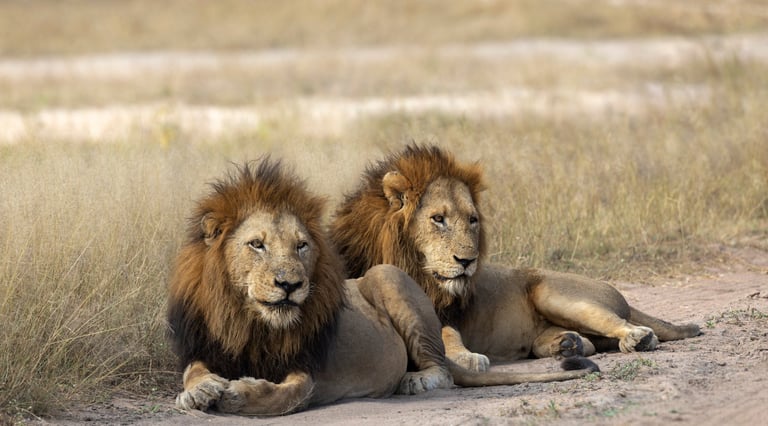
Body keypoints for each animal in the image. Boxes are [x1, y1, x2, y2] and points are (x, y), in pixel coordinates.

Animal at [166, 159, 598, 416]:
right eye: (257, 244)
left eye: (302, 245)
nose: (290, 284)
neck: (252, 321)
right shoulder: (206, 346)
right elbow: (193, 371)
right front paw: (200, 391)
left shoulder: (309, 370)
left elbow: (287, 394)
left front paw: (239, 394)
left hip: (387, 277)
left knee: (442, 370)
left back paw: (414, 380)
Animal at [331, 144, 701, 372]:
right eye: (438, 219)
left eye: (472, 220)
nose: (467, 261)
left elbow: (447, 334)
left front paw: (466, 358)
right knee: (589, 343)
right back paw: (567, 345)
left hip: (555, 293)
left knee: (622, 323)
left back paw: (635, 338)